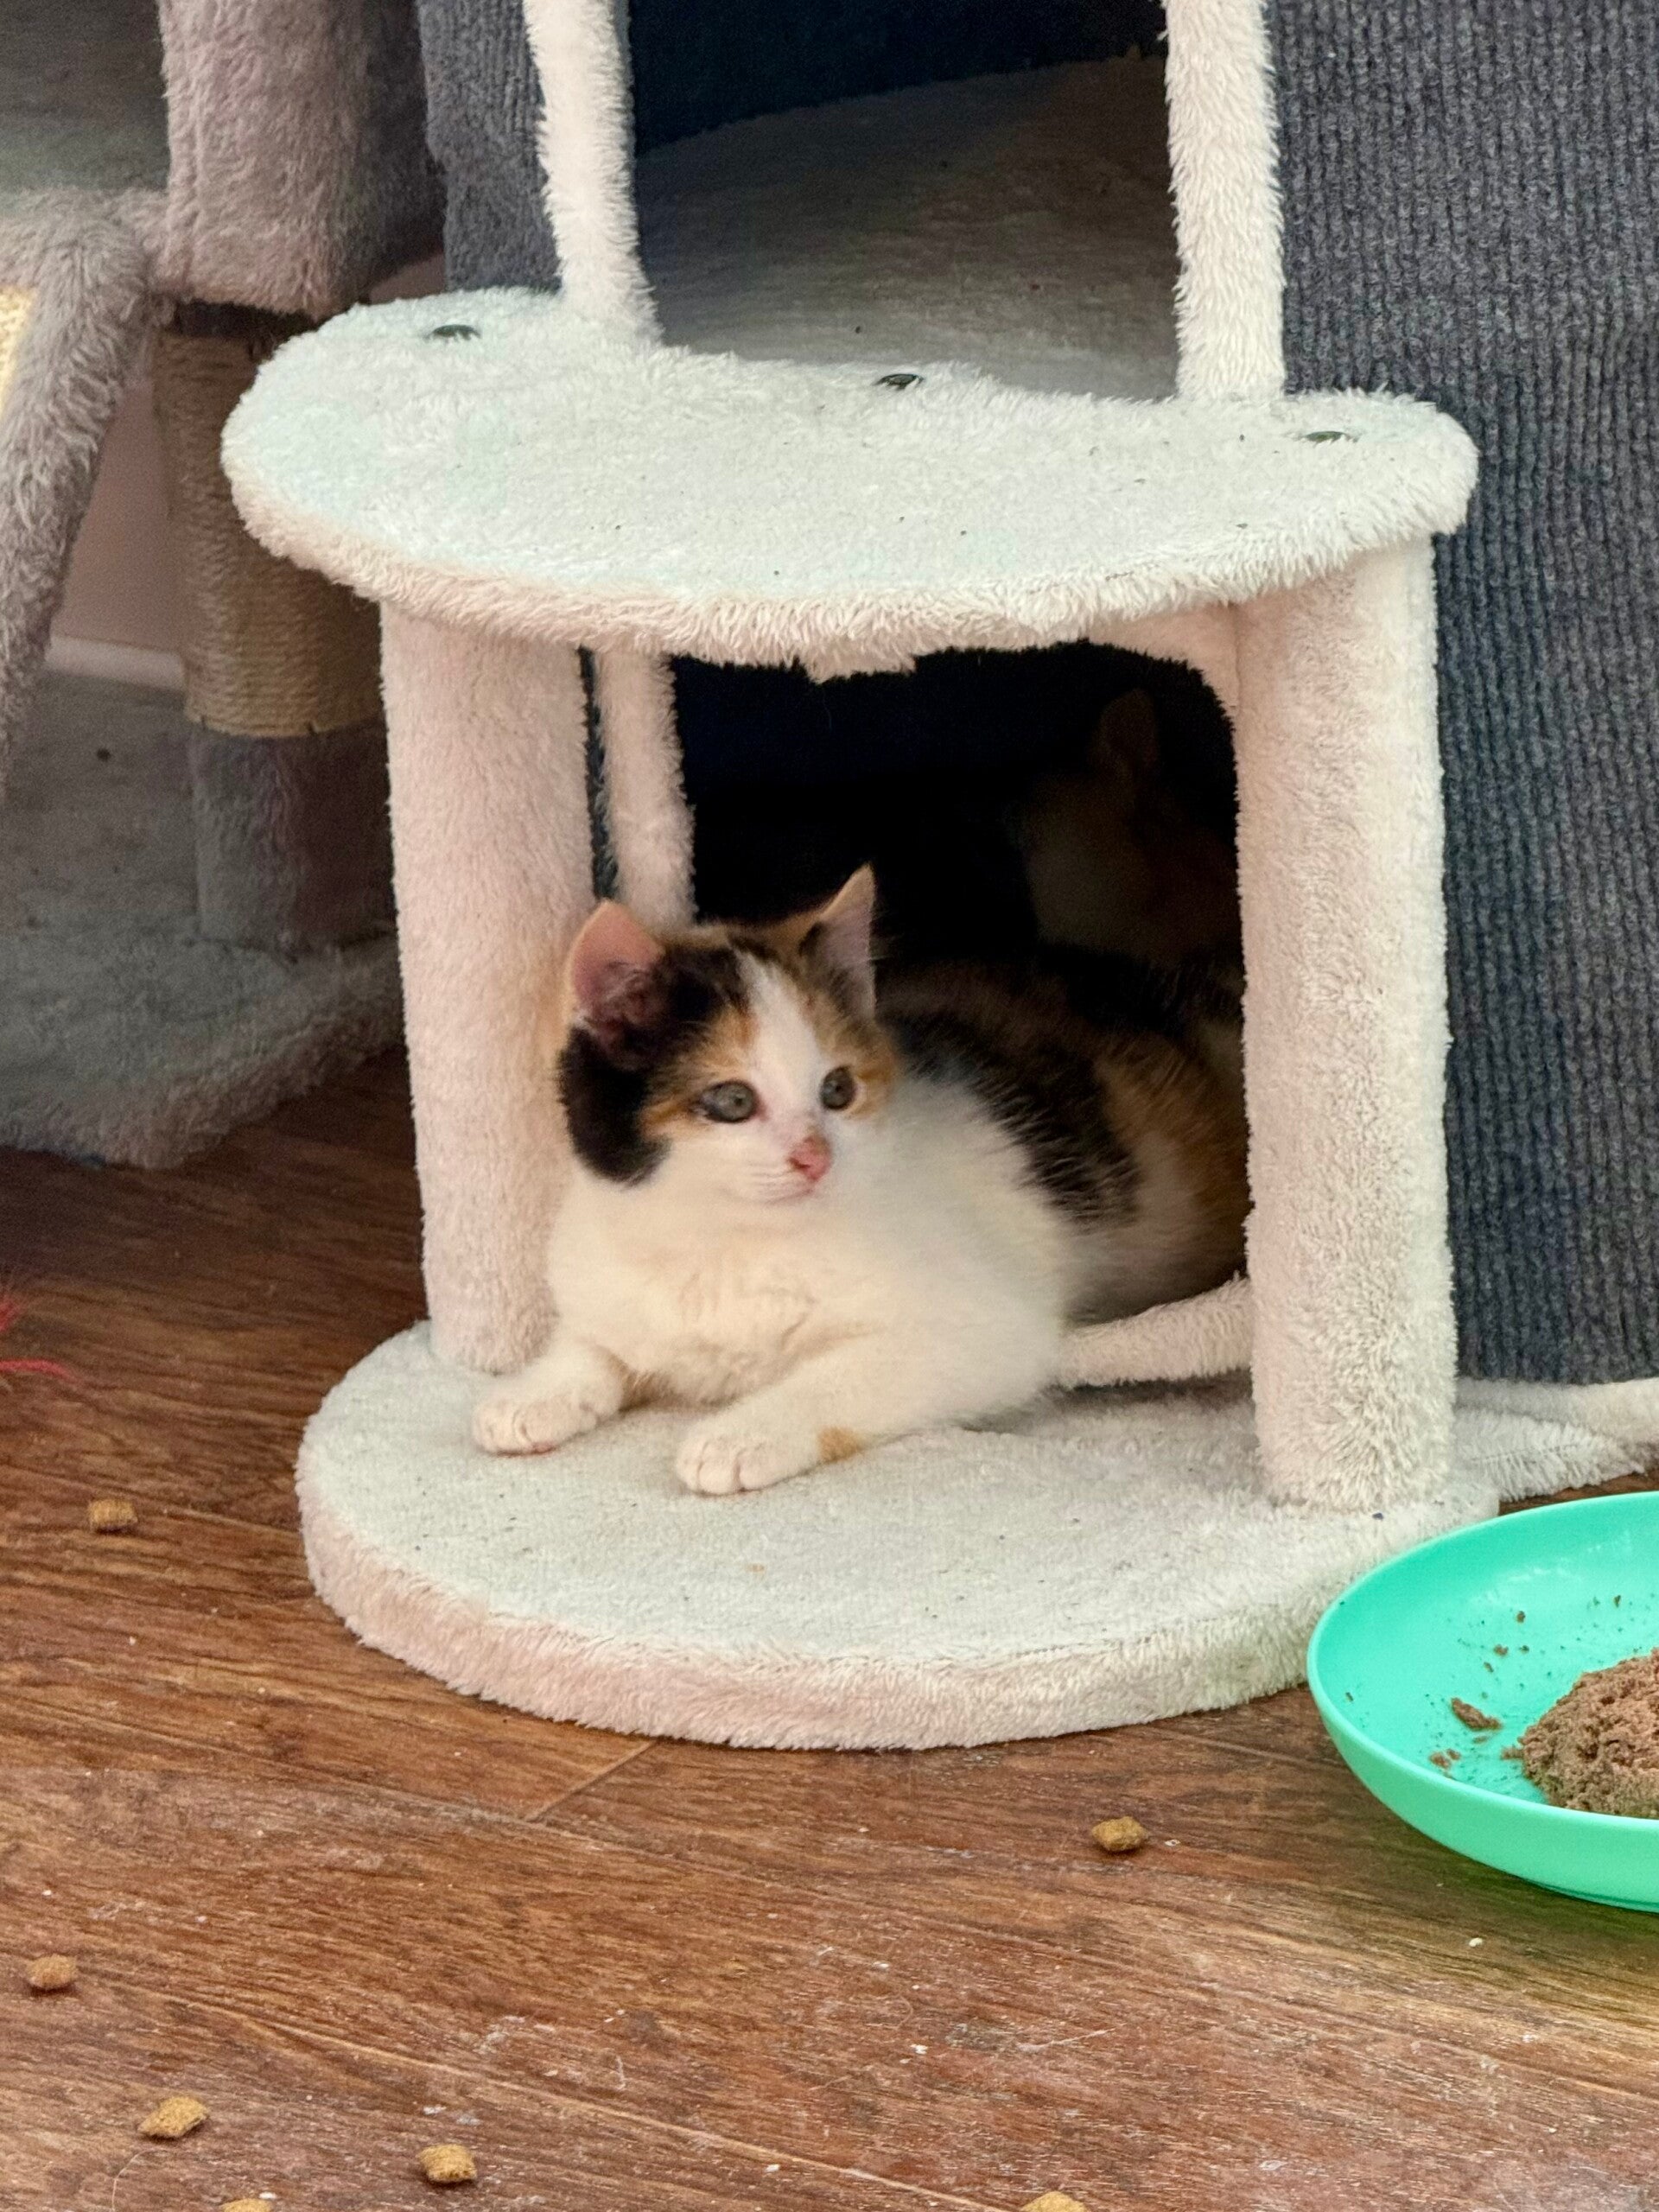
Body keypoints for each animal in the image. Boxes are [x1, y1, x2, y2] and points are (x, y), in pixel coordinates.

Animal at [473, 867, 1247, 1495]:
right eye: (733, 1101)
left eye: (838, 1089)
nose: (814, 1156)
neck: (721, 1242)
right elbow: (596, 1341)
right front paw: (534, 1393)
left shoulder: (990, 1327)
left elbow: (841, 1375)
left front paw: (740, 1435)